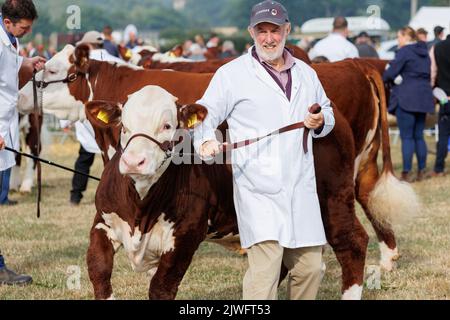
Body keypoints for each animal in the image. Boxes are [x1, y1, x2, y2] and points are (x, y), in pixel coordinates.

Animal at [17, 45, 418, 300]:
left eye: (51, 71)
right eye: (124, 126)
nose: (19, 97)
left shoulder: (184, 236)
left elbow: (161, 286)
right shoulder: (104, 225)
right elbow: (101, 275)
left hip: (333, 198)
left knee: (352, 242)